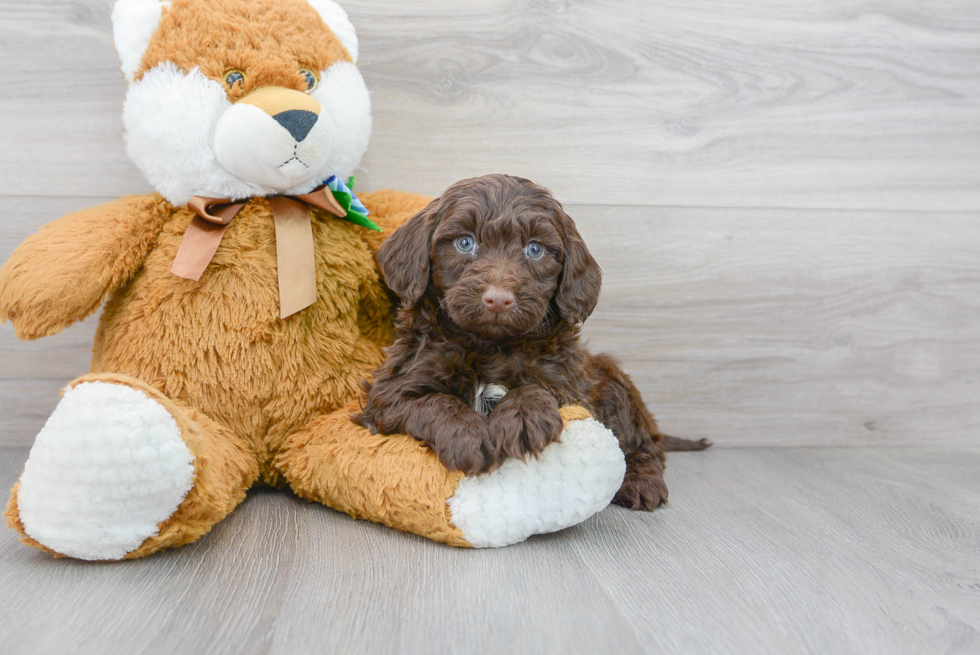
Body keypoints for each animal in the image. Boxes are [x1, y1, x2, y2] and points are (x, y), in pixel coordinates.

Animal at [356, 176, 708, 512]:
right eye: (465, 242)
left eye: (535, 249)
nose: (498, 299)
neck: (489, 345)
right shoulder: (393, 390)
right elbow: (434, 402)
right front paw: (468, 436)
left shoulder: (570, 384)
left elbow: (538, 387)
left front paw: (524, 417)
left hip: (613, 382)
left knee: (642, 444)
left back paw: (641, 482)